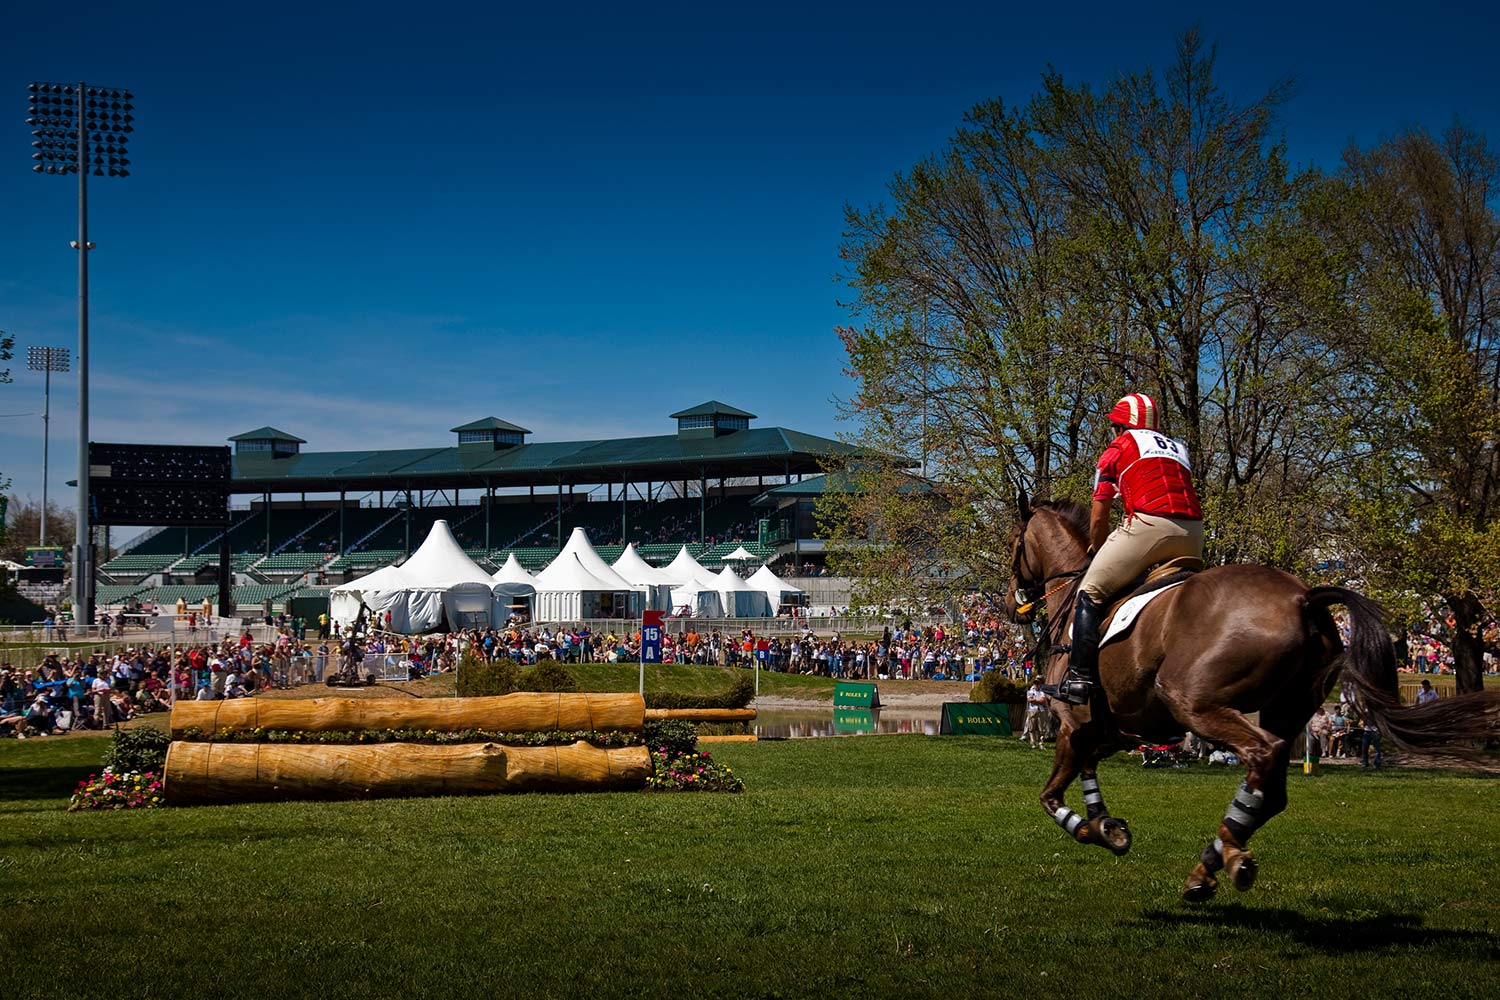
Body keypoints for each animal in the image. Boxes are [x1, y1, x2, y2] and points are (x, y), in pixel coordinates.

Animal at [1008, 497, 1500, 905]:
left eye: (1015, 544)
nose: (1016, 602)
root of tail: (1302, 596)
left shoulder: (1074, 725)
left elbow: (1050, 796)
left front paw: (1092, 829)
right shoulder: (1112, 731)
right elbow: (1088, 774)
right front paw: (1109, 827)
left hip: (1196, 703)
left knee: (1263, 755)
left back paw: (1228, 856)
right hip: (1286, 707)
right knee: (1271, 788)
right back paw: (1210, 864)